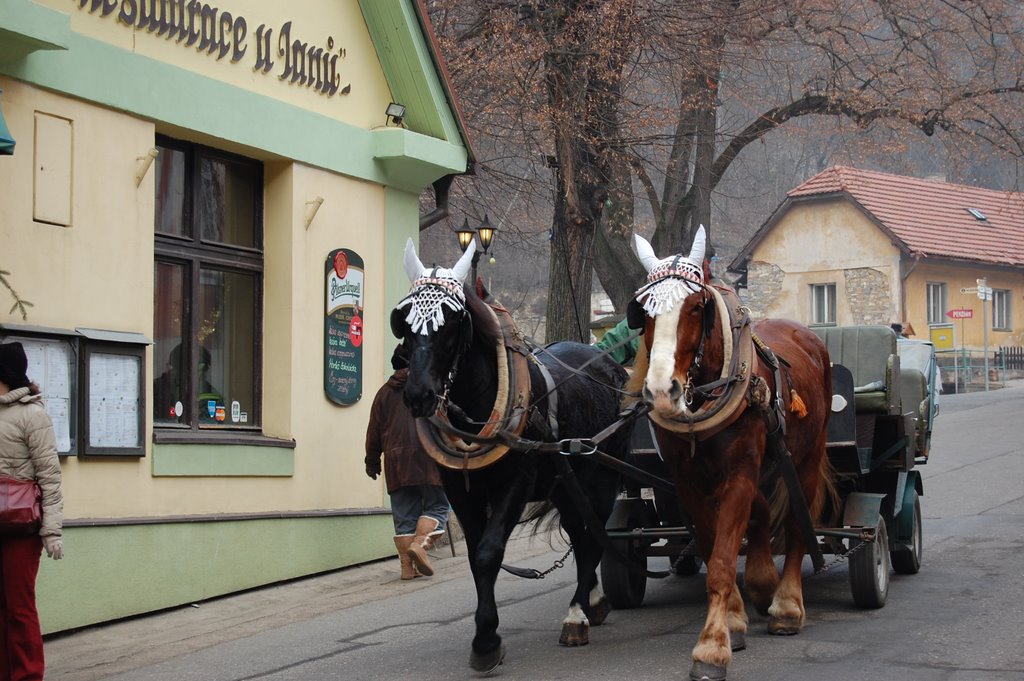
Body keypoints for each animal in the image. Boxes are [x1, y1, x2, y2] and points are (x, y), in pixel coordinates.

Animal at [391, 237, 630, 667]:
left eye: (452, 322)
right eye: (404, 321)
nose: (419, 395)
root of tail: (608, 364)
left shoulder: (515, 485)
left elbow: (489, 553)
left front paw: (486, 640)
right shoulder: (460, 489)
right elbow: (475, 558)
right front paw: (484, 635)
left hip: (600, 478)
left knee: (592, 538)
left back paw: (577, 614)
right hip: (565, 486)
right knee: (580, 531)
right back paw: (592, 601)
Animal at [626, 228, 835, 679]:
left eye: (696, 306)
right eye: (643, 310)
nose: (662, 392)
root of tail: (806, 335)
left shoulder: (740, 471)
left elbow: (722, 562)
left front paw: (711, 648)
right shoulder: (688, 481)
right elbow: (711, 545)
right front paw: (734, 622)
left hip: (806, 459)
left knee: (797, 525)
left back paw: (787, 605)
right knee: (762, 515)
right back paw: (762, 582)